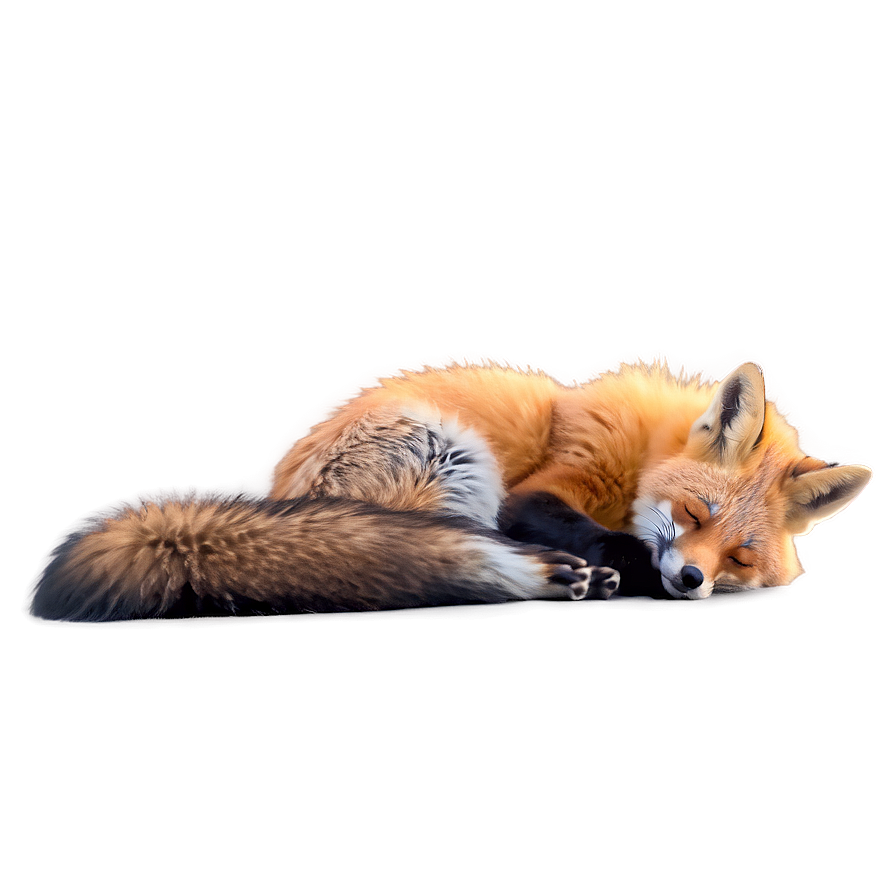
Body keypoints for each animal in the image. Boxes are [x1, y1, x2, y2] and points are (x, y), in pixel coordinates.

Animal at [31, 360, 872, 621]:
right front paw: (626, 562)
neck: (639, 457)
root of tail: (285, 493)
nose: (693, 578)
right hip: (458, 456)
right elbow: (609, 536)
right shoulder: (547, 485)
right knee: (417, 567)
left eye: (739, 556)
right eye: (694, 513)